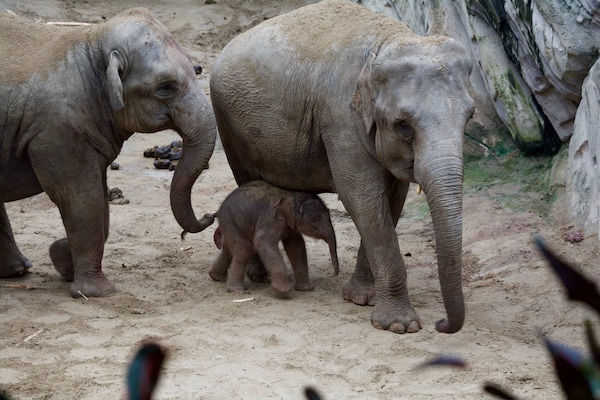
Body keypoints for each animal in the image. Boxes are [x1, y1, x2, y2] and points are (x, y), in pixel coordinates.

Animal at [0, 8, 216, 296]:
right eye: (165, 87)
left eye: (197, 69)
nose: (210, 215)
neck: (92, 40)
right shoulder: (58, 131)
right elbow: (81, 198)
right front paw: (97, 292)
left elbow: (100, 198)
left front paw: (61, 259)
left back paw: (17, 270)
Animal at [190, 180, 340, 294]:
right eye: (314, 221)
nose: (334, 275)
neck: (290, 195)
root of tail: (218, 210)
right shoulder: (269, 218)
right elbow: (262, 242)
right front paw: (283, 290)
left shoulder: (289, 224)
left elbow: (297, 246)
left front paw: (306, 289)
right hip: (230, 221)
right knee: (244, 250)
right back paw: (237, 291)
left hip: (230, 224)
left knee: (229, 249)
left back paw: (216, 277)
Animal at [209, 0, 476, 334]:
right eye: (403, 126)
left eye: (470, 116)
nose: (441, 323)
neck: (389, 41)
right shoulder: (340, 119)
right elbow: (362, 198)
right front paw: (399, 326)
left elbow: (391, 200)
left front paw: (361, 298)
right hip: (229, 125)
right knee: (246, 179)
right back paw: (258, 277)